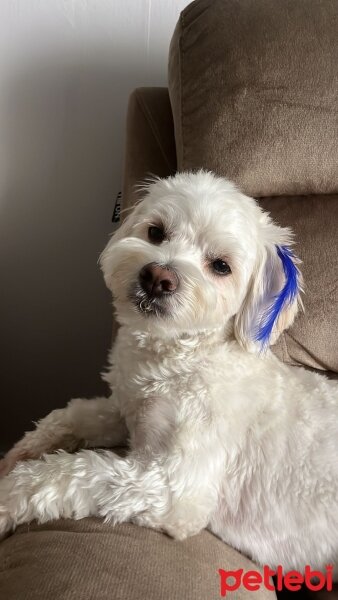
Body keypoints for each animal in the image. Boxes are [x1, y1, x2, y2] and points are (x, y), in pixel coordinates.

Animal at [0, 171, 338, 576]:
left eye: (221, 266)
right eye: (156, 232)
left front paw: (8, 496)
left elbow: (73, 471)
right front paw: (22, 449)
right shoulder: (126, 409)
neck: (181, 356)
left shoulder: (171, 488)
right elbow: (73, 415)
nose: (157, 276)